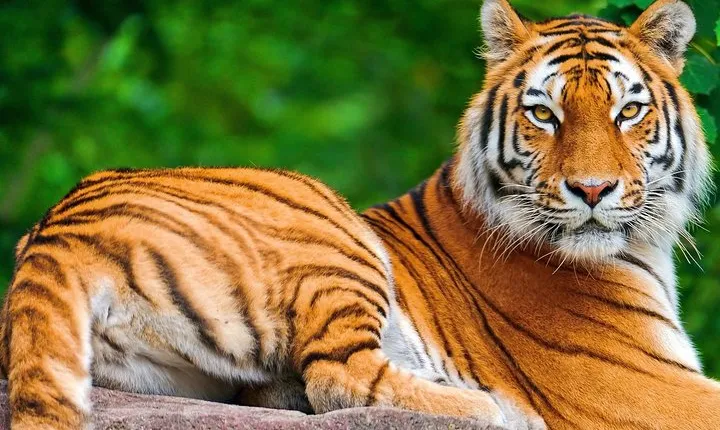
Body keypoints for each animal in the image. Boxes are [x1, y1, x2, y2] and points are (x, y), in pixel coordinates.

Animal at [2, 0, 720, 428]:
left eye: (629, 110)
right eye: (544, 113)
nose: (592, 190)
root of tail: (53, 231)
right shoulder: (645, 388)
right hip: (329, 228)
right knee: (337, 376)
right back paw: (482, 405)